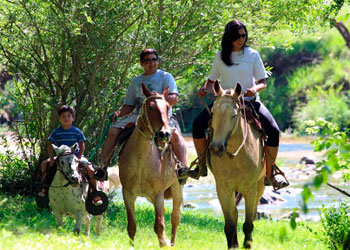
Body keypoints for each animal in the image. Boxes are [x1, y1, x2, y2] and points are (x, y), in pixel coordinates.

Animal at [118, 83, 183, 247]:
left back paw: (172, 243)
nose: (164, 134)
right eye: (151, 107)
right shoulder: (128, 194)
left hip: (177, 188)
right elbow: (131, 226)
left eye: (167, 106)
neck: (142, 161)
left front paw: (164, 244)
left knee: (175, 217)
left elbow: (159, 226)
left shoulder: (158, 195)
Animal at [209, 81, 264, 248]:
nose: (216, 148)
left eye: (233, 115)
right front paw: (233, 245)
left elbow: (248, 223)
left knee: (253, 214)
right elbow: (230, 222)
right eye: (212, 113)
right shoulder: (223, 189)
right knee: (234, 214)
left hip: (261, 185)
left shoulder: (250, 189)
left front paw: (248, 244)